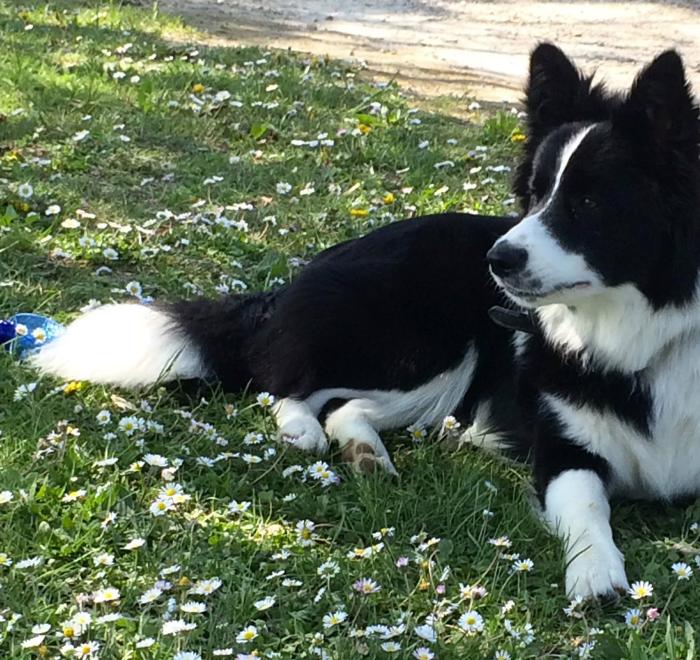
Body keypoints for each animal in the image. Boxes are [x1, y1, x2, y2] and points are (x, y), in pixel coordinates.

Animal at [31, 43, 700, 600]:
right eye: (534, 195)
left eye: (587, 202)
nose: (498, 260)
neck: (639, 342)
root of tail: (298, 279)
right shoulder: (562, 452)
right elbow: (588, 508)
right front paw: (596, 572)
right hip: (428, 347)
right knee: (297, 386)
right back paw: (307, 432)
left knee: (349, 406)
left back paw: (368, 452)